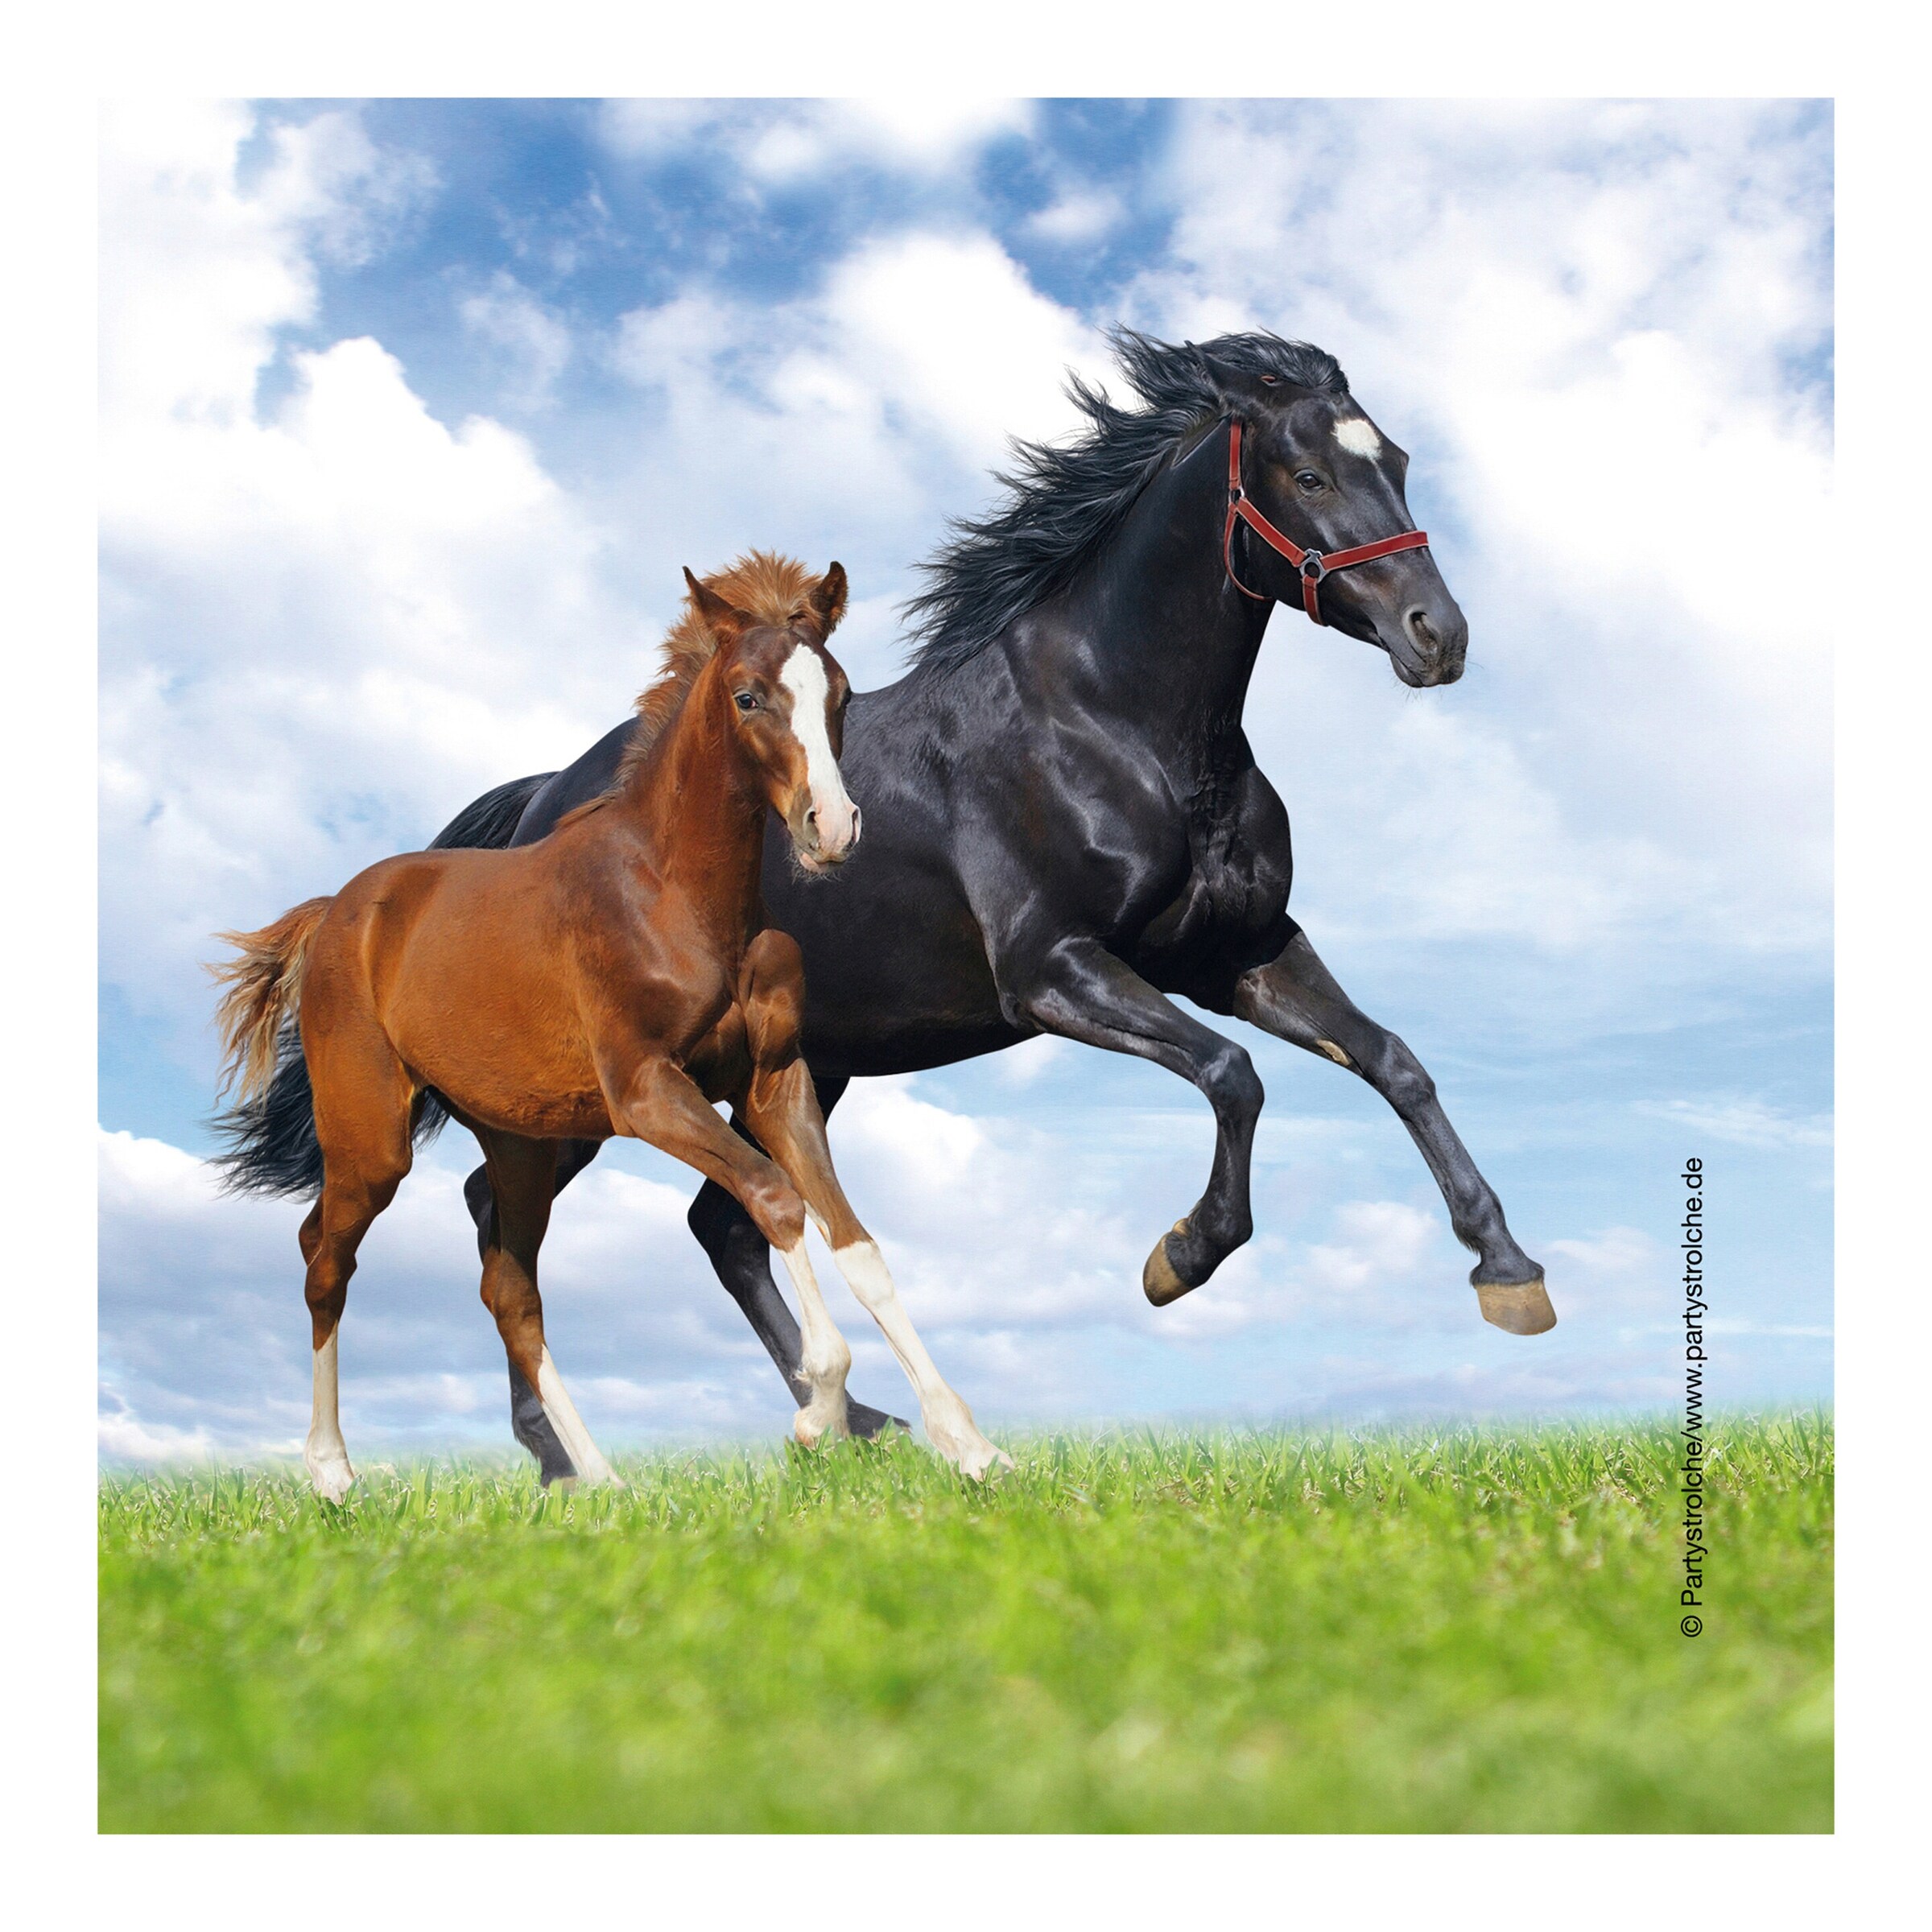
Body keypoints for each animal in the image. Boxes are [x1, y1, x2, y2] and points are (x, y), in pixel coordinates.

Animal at [211, 557, 1011, 1497]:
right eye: (746, 696)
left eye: (840, 693)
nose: (833, 828)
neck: (677, 899)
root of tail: (337, 911)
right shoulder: (647, 1092)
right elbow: (776, 1200)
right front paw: (820, 1408)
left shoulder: (776, 1083)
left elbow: (855, 1242)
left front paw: (970, 1445)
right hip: (373, 1138)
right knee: (325, 1257)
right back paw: (334, 1472)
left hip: (517, 1142)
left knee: (509, 1289)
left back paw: (597, 1478)